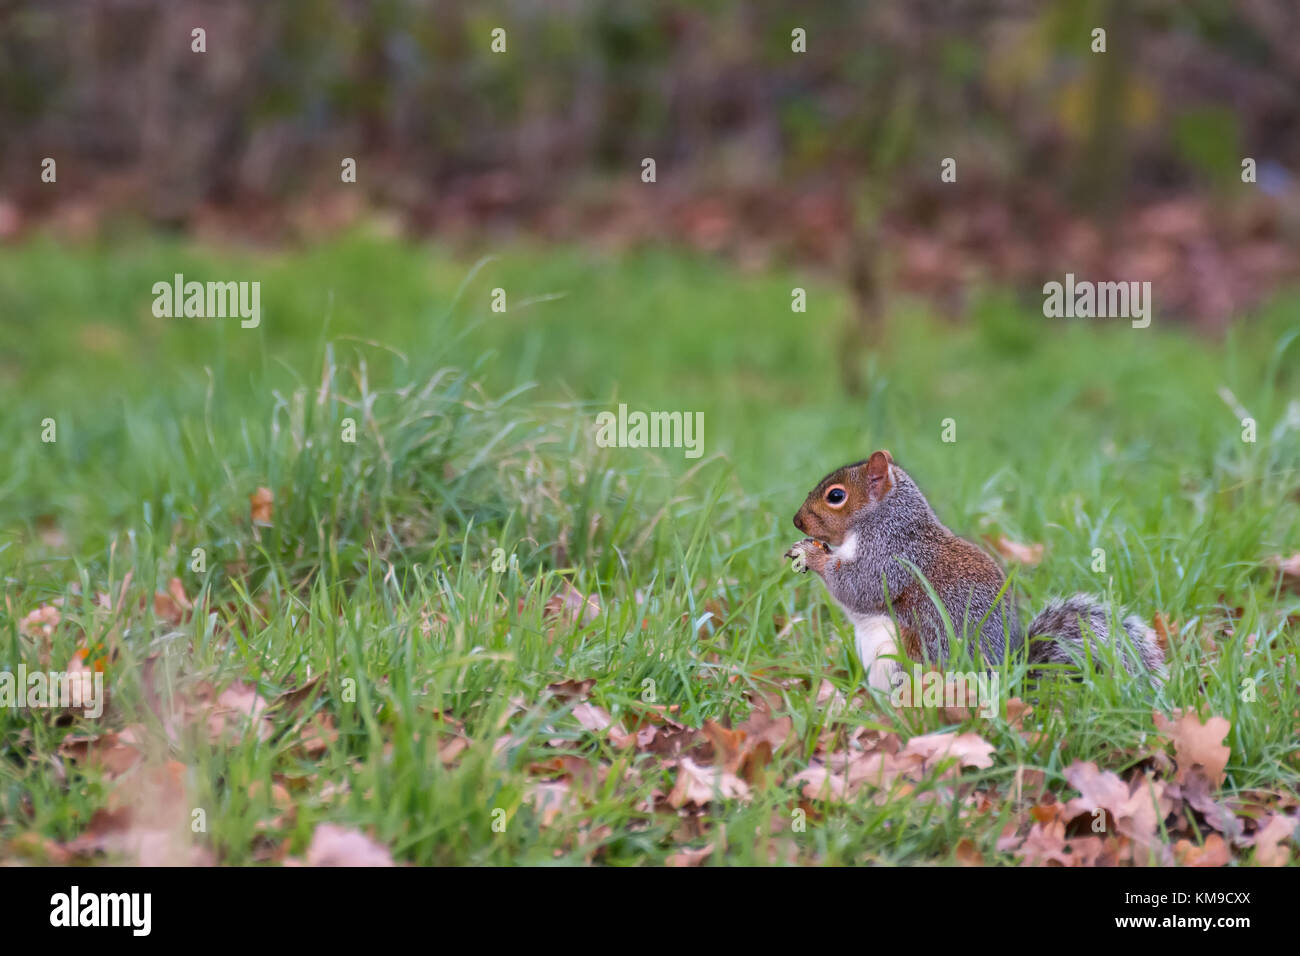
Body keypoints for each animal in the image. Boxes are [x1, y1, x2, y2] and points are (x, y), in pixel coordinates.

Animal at [780, 452, 1170, 691]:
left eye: (836, 496)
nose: (797, 521)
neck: (882, 520)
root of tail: (1011, 677)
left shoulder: (892, 558)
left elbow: (860, 587)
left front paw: (812, 556)